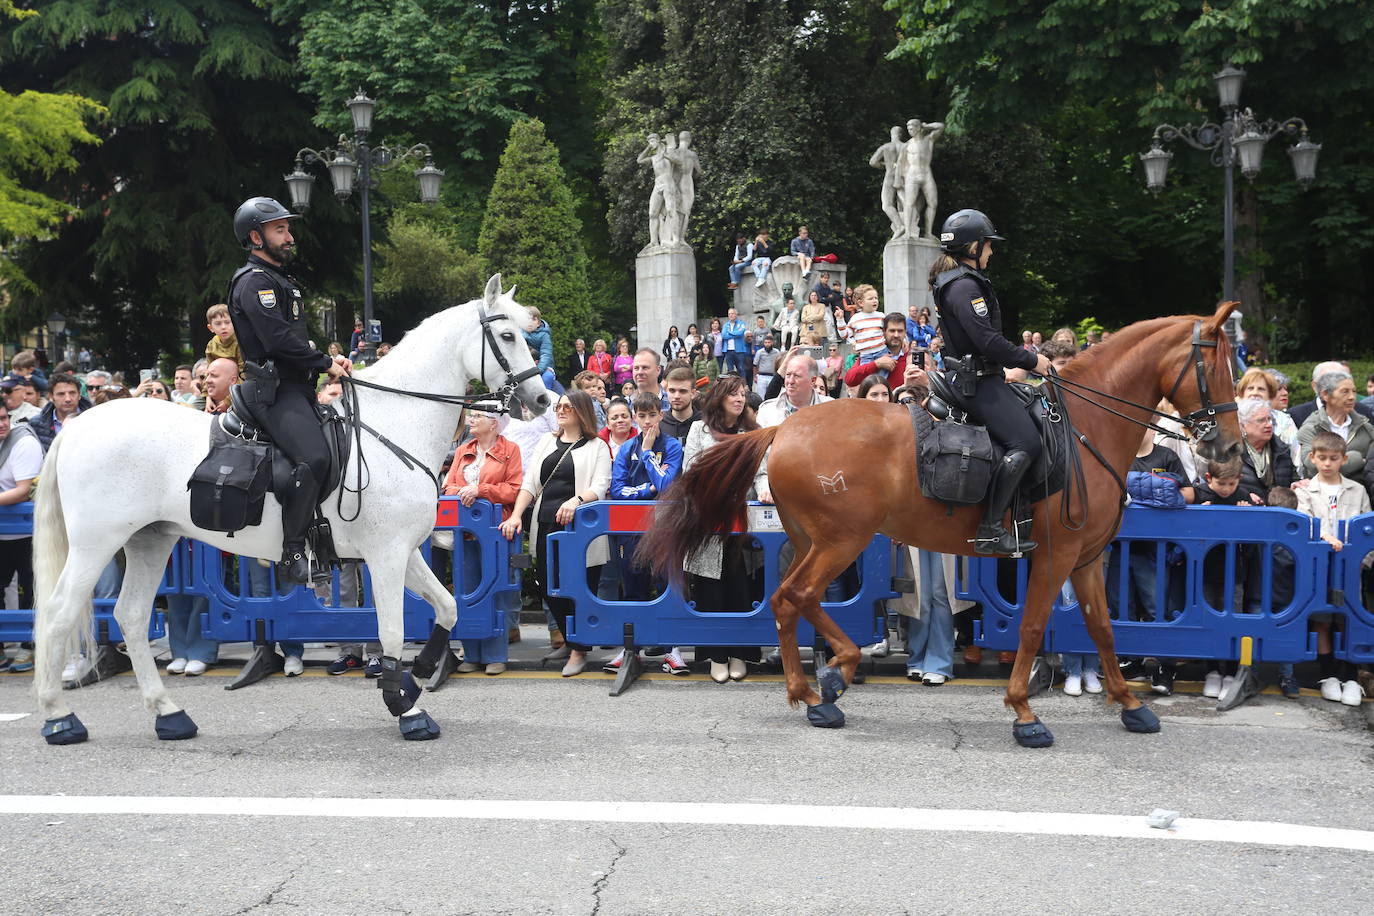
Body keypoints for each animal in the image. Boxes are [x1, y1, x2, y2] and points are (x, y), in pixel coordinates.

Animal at [32, 271, 546, 747]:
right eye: (507, 336)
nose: (542, 398)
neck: (391, 426)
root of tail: (76, 426)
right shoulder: (385, 556)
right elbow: (394, 631)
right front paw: (405, 706)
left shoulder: (404, 552)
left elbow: (448, 608)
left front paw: (417, 674)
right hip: (96, 544)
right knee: (58, 613)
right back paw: (59, 717)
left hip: (150, 539)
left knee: (133, 617)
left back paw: (168, 715)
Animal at [637, 300, 1242, 747]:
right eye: (1215, 367)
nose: (1230, 450)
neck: (1085, 429)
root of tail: (782, 429)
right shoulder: (1056, 556)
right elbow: (1031, 627)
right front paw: (1024, 713)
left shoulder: (1087, 558)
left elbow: (1102, 629)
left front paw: (1130, 704)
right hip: (841, 540)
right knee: (795, 597)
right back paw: (828, 682)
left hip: (814, 540)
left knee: (789, 602)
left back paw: (813, 689)